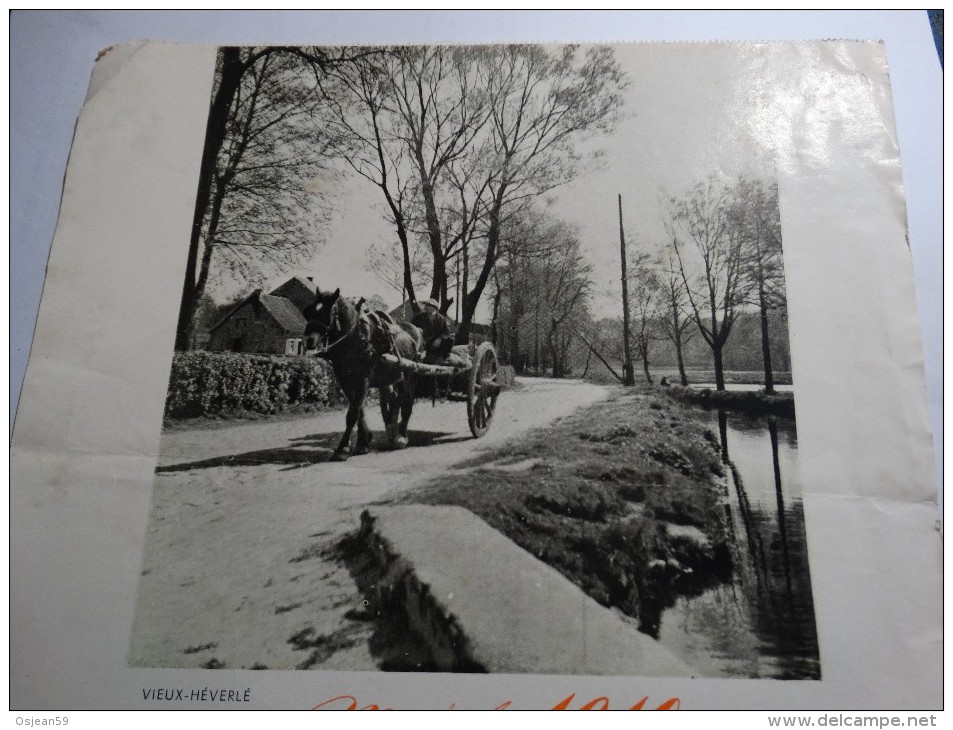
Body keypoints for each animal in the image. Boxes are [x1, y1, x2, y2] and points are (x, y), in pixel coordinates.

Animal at [304, 288, 424, 458]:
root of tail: (416, 329)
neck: (355, 339)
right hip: (391, 378)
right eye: (308, 311)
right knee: (395, 400)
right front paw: (363, 441)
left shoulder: (363, 379)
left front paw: (343, 448)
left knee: (407, 403)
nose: (308, 340)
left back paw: (401, 437)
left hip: (411, 375)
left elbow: (353, 413)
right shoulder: (345, 379)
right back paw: (392, 431)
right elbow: (358, 409)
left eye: (327, 312)